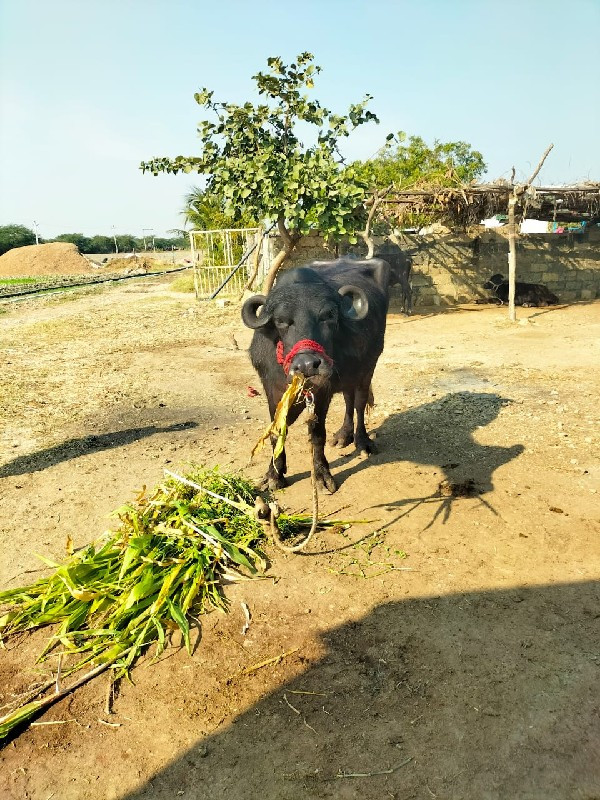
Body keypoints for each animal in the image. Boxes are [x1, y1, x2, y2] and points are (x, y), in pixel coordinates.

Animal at [241, 260, 392, 490]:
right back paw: (343, 436)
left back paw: (363, 442)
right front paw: (274, 474)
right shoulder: (271, 388)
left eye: (328, 316)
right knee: (348, 399)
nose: (307, 365)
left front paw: (321, 474)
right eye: (281, 320)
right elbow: (277, 431)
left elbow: (317, 433)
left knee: (358, 403)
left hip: (367, 369)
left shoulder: (322, 391)